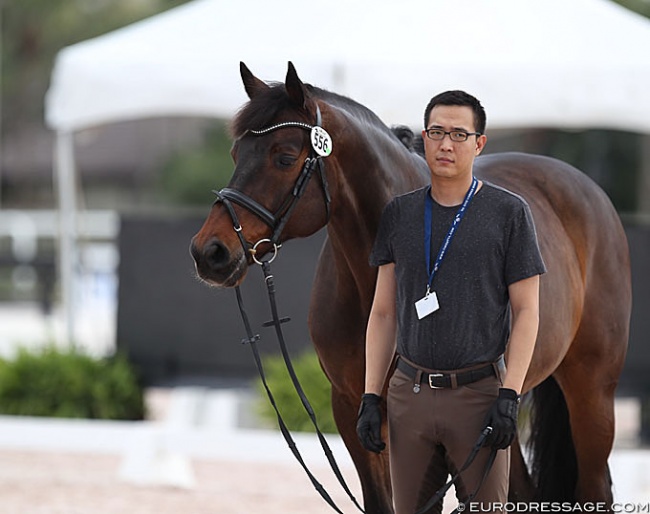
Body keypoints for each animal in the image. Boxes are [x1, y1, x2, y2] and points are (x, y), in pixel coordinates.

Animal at [190, 62, 632, 510]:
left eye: (284, 157)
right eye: (236, 154)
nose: (210, 252)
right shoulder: (356, 412)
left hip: (590, 394)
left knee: (595, 487)